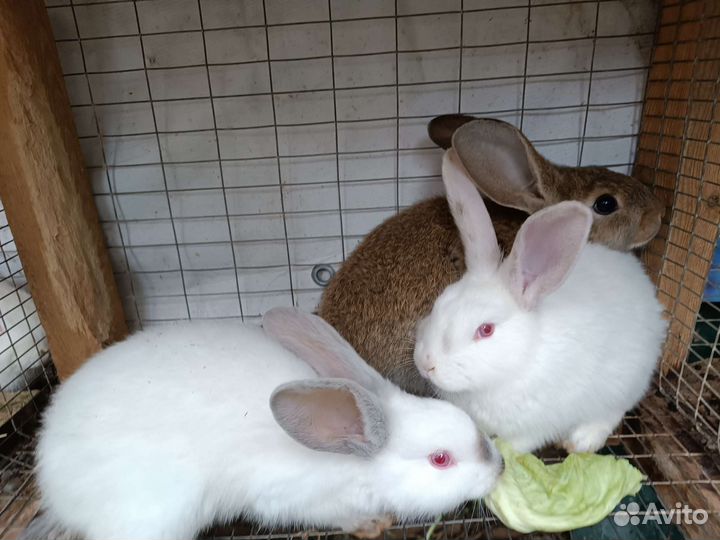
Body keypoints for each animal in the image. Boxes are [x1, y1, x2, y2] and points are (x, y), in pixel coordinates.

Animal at [24, 307, 503, 540]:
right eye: (440, 459)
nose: (498, 467)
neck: (351, 459)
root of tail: (52, 487)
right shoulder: (296, 500)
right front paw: (370, 525)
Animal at [413, 149, 667, 454]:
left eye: (486, 330)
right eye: (437, 306)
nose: (426, 364)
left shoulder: (535, 427)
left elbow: (517, 445)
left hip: (626, 382)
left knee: (611, 411)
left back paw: (581, 440)